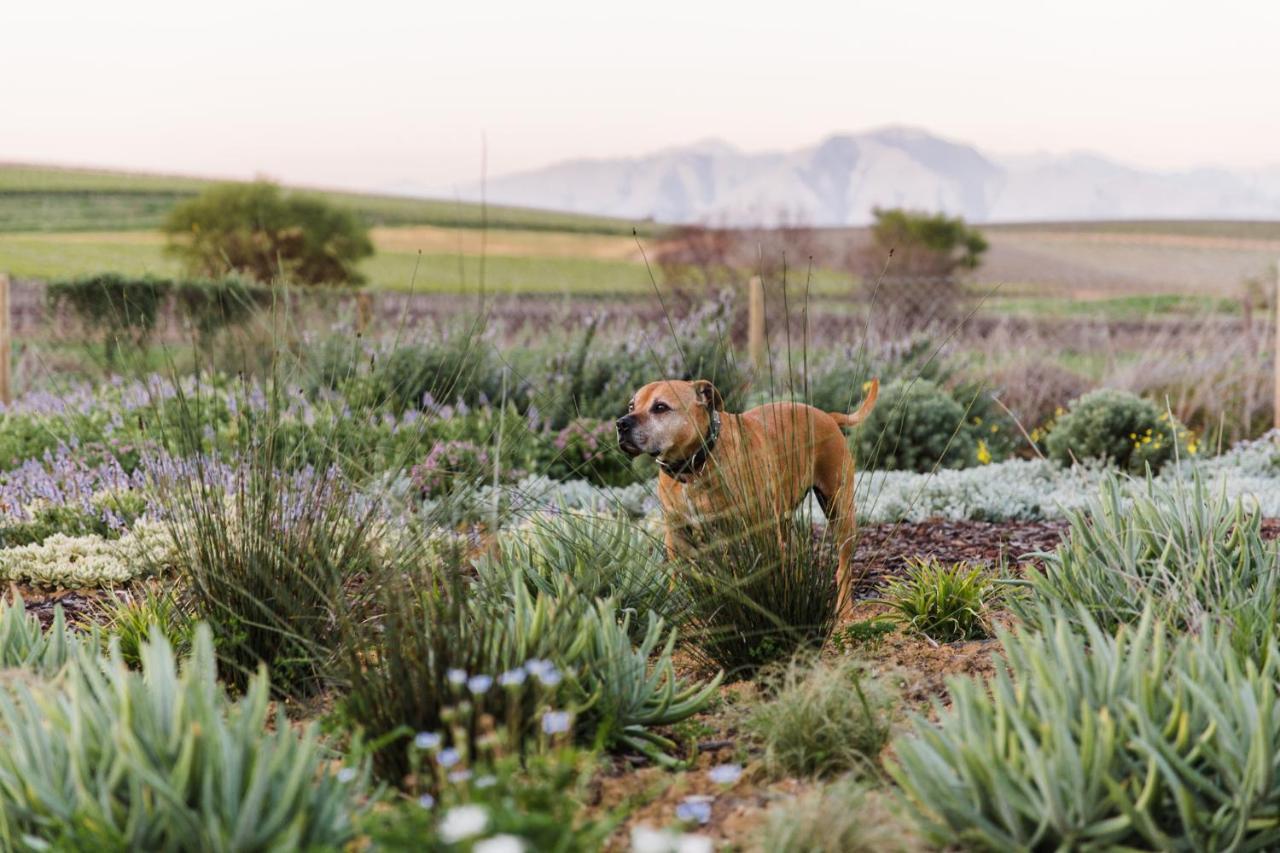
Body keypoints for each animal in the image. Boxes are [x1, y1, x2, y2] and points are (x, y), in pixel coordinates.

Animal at [611, 376, 875, 604]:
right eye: (632, 405)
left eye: (660, 407)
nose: (621, 423)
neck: (693, 467)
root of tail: (826, 416)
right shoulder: (677, 535)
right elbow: (680, 577)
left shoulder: (757, 529)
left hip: (839, 511)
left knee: (842, 568)